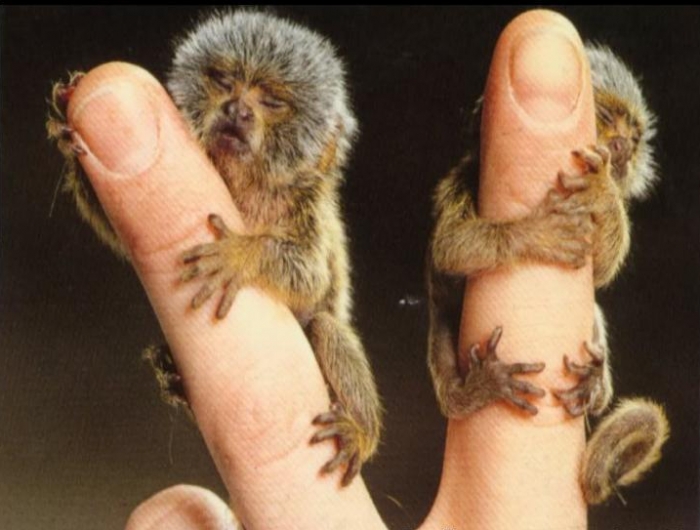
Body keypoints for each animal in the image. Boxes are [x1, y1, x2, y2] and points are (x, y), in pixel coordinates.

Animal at [46, 10, 382, 488]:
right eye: (225, 81)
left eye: (271, 102)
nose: (237, 111)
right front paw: (70, 137)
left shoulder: (306, 207)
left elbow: (310, 278)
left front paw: (239, 255)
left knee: (324, 327)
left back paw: (360, 432)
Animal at [426, 43, 668, 504]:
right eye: (604, 117)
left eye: (634, 137)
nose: (623, 145)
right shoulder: (465, 180)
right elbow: (450, 248)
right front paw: (534, 233)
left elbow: (602, 270)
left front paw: (603, 191)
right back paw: (472, 389)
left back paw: (595, 385)